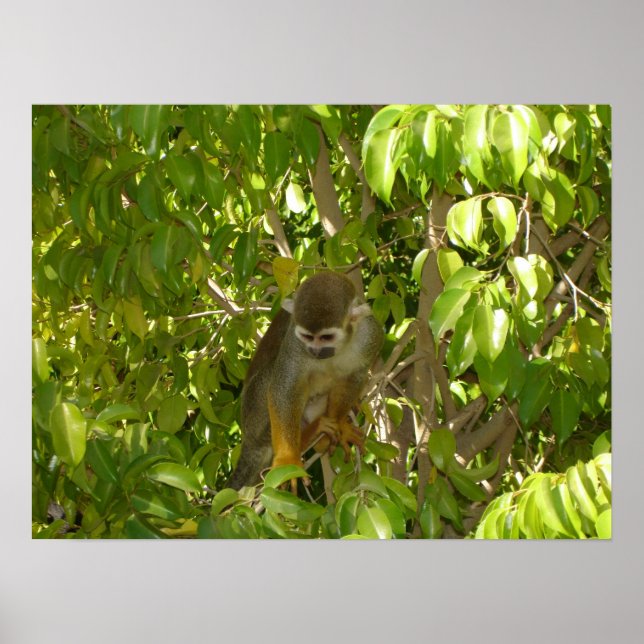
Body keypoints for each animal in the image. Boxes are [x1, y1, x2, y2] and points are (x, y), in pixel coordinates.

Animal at [226, 271, 383, 494]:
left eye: (326, 337)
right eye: (308, 336)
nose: (315, 351)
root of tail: (248, 439)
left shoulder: (370, 335)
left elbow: (354, 377)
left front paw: (340, 425)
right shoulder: (294, 340)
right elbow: (285, 387)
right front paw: (288, 461)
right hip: (255, 417)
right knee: (275, 376)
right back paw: (311, 433)